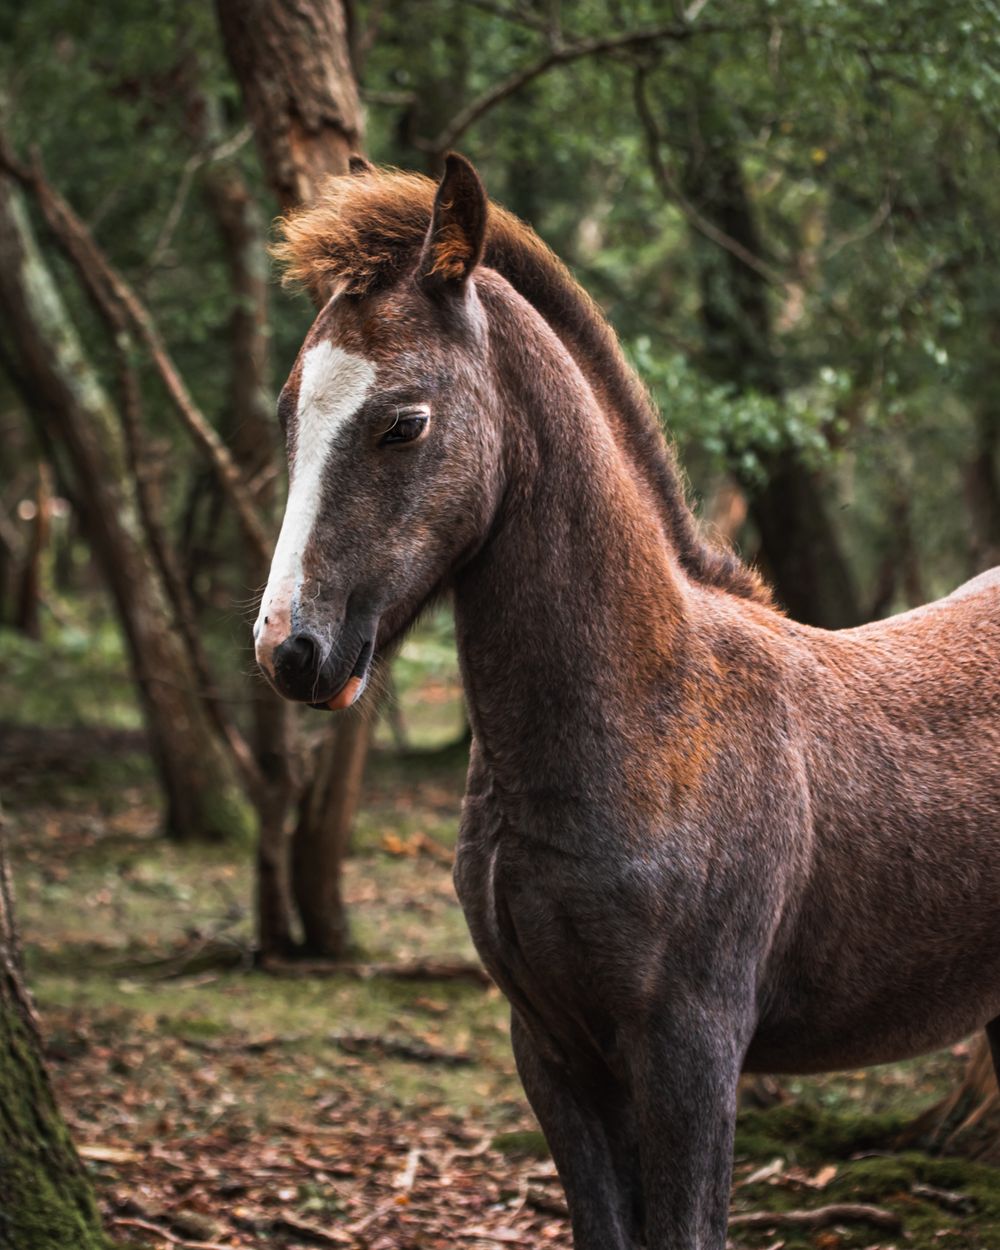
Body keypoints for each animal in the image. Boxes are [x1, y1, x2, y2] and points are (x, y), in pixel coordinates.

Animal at [253, 153, 1000, 1250]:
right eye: (288, 410)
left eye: (404, 421)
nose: (291, 651)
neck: (649, 715)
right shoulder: (554, 1052)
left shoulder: (691, 1056)